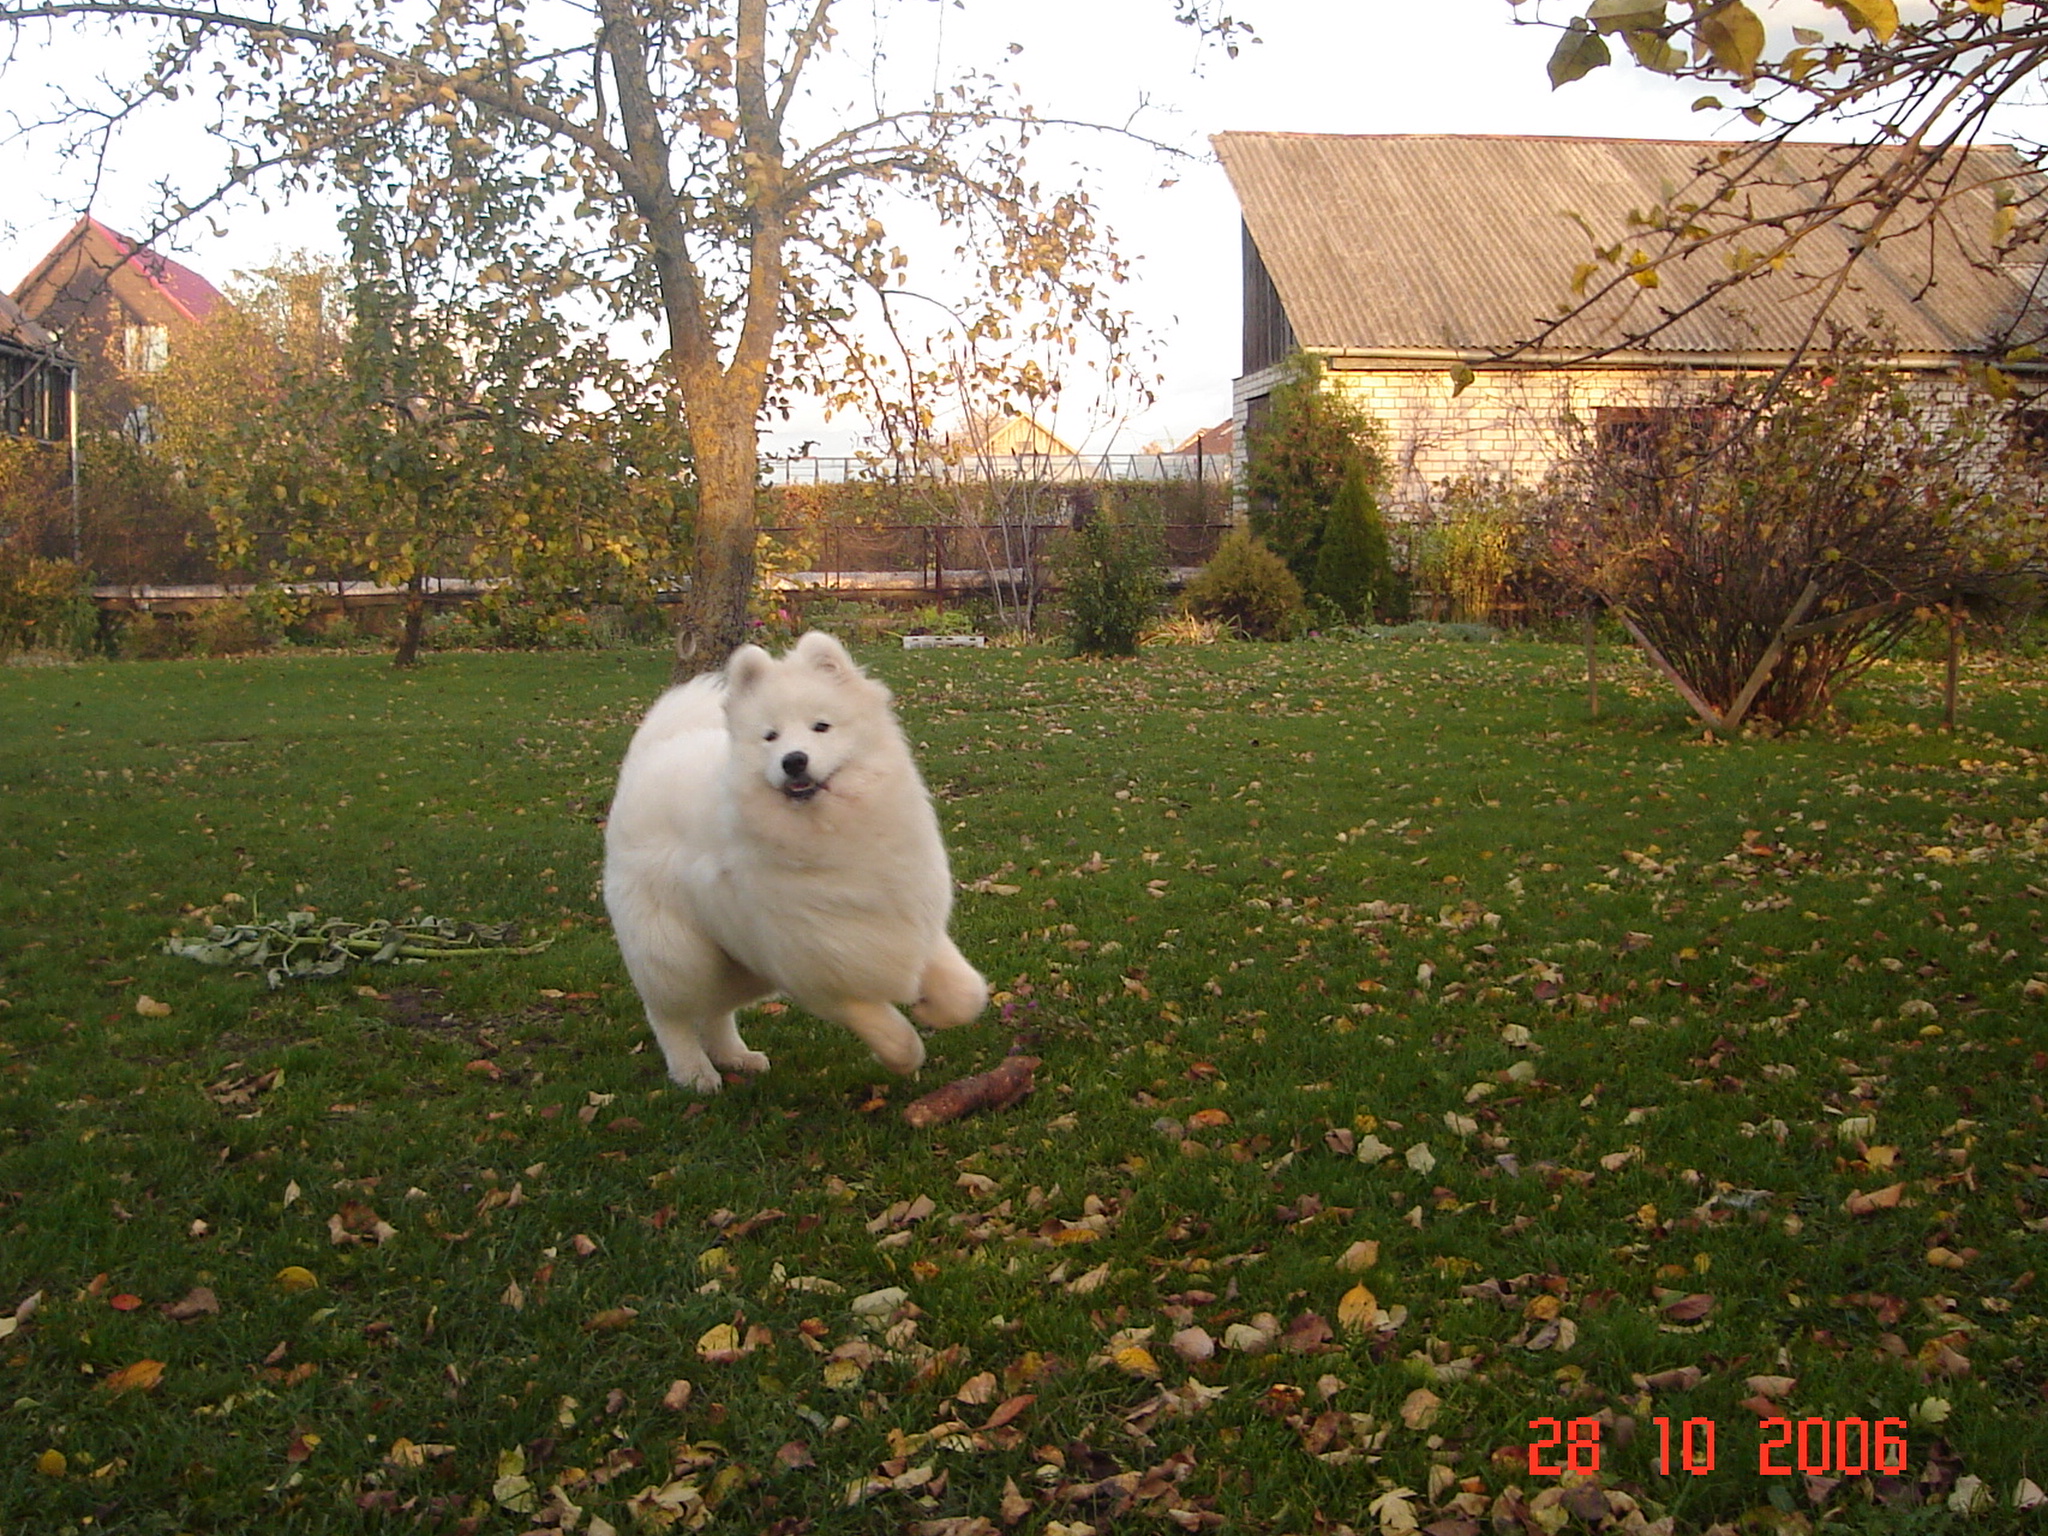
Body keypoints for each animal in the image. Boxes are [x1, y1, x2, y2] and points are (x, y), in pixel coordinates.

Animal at [602, 631, 988, 1092]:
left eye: (821, 726)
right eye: (770, 736)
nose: (794, 760)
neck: (833, 832)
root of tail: (653, 754)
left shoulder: (908, 924)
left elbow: (968, 994)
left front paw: (934, 1009)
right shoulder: (816, 968)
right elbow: (888, 1031)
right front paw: (904, 1054)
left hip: (737, 963)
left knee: (715, 1010)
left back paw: (735, 1056)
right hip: (680, 952)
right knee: (670, 1014)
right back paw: (694, 1072)